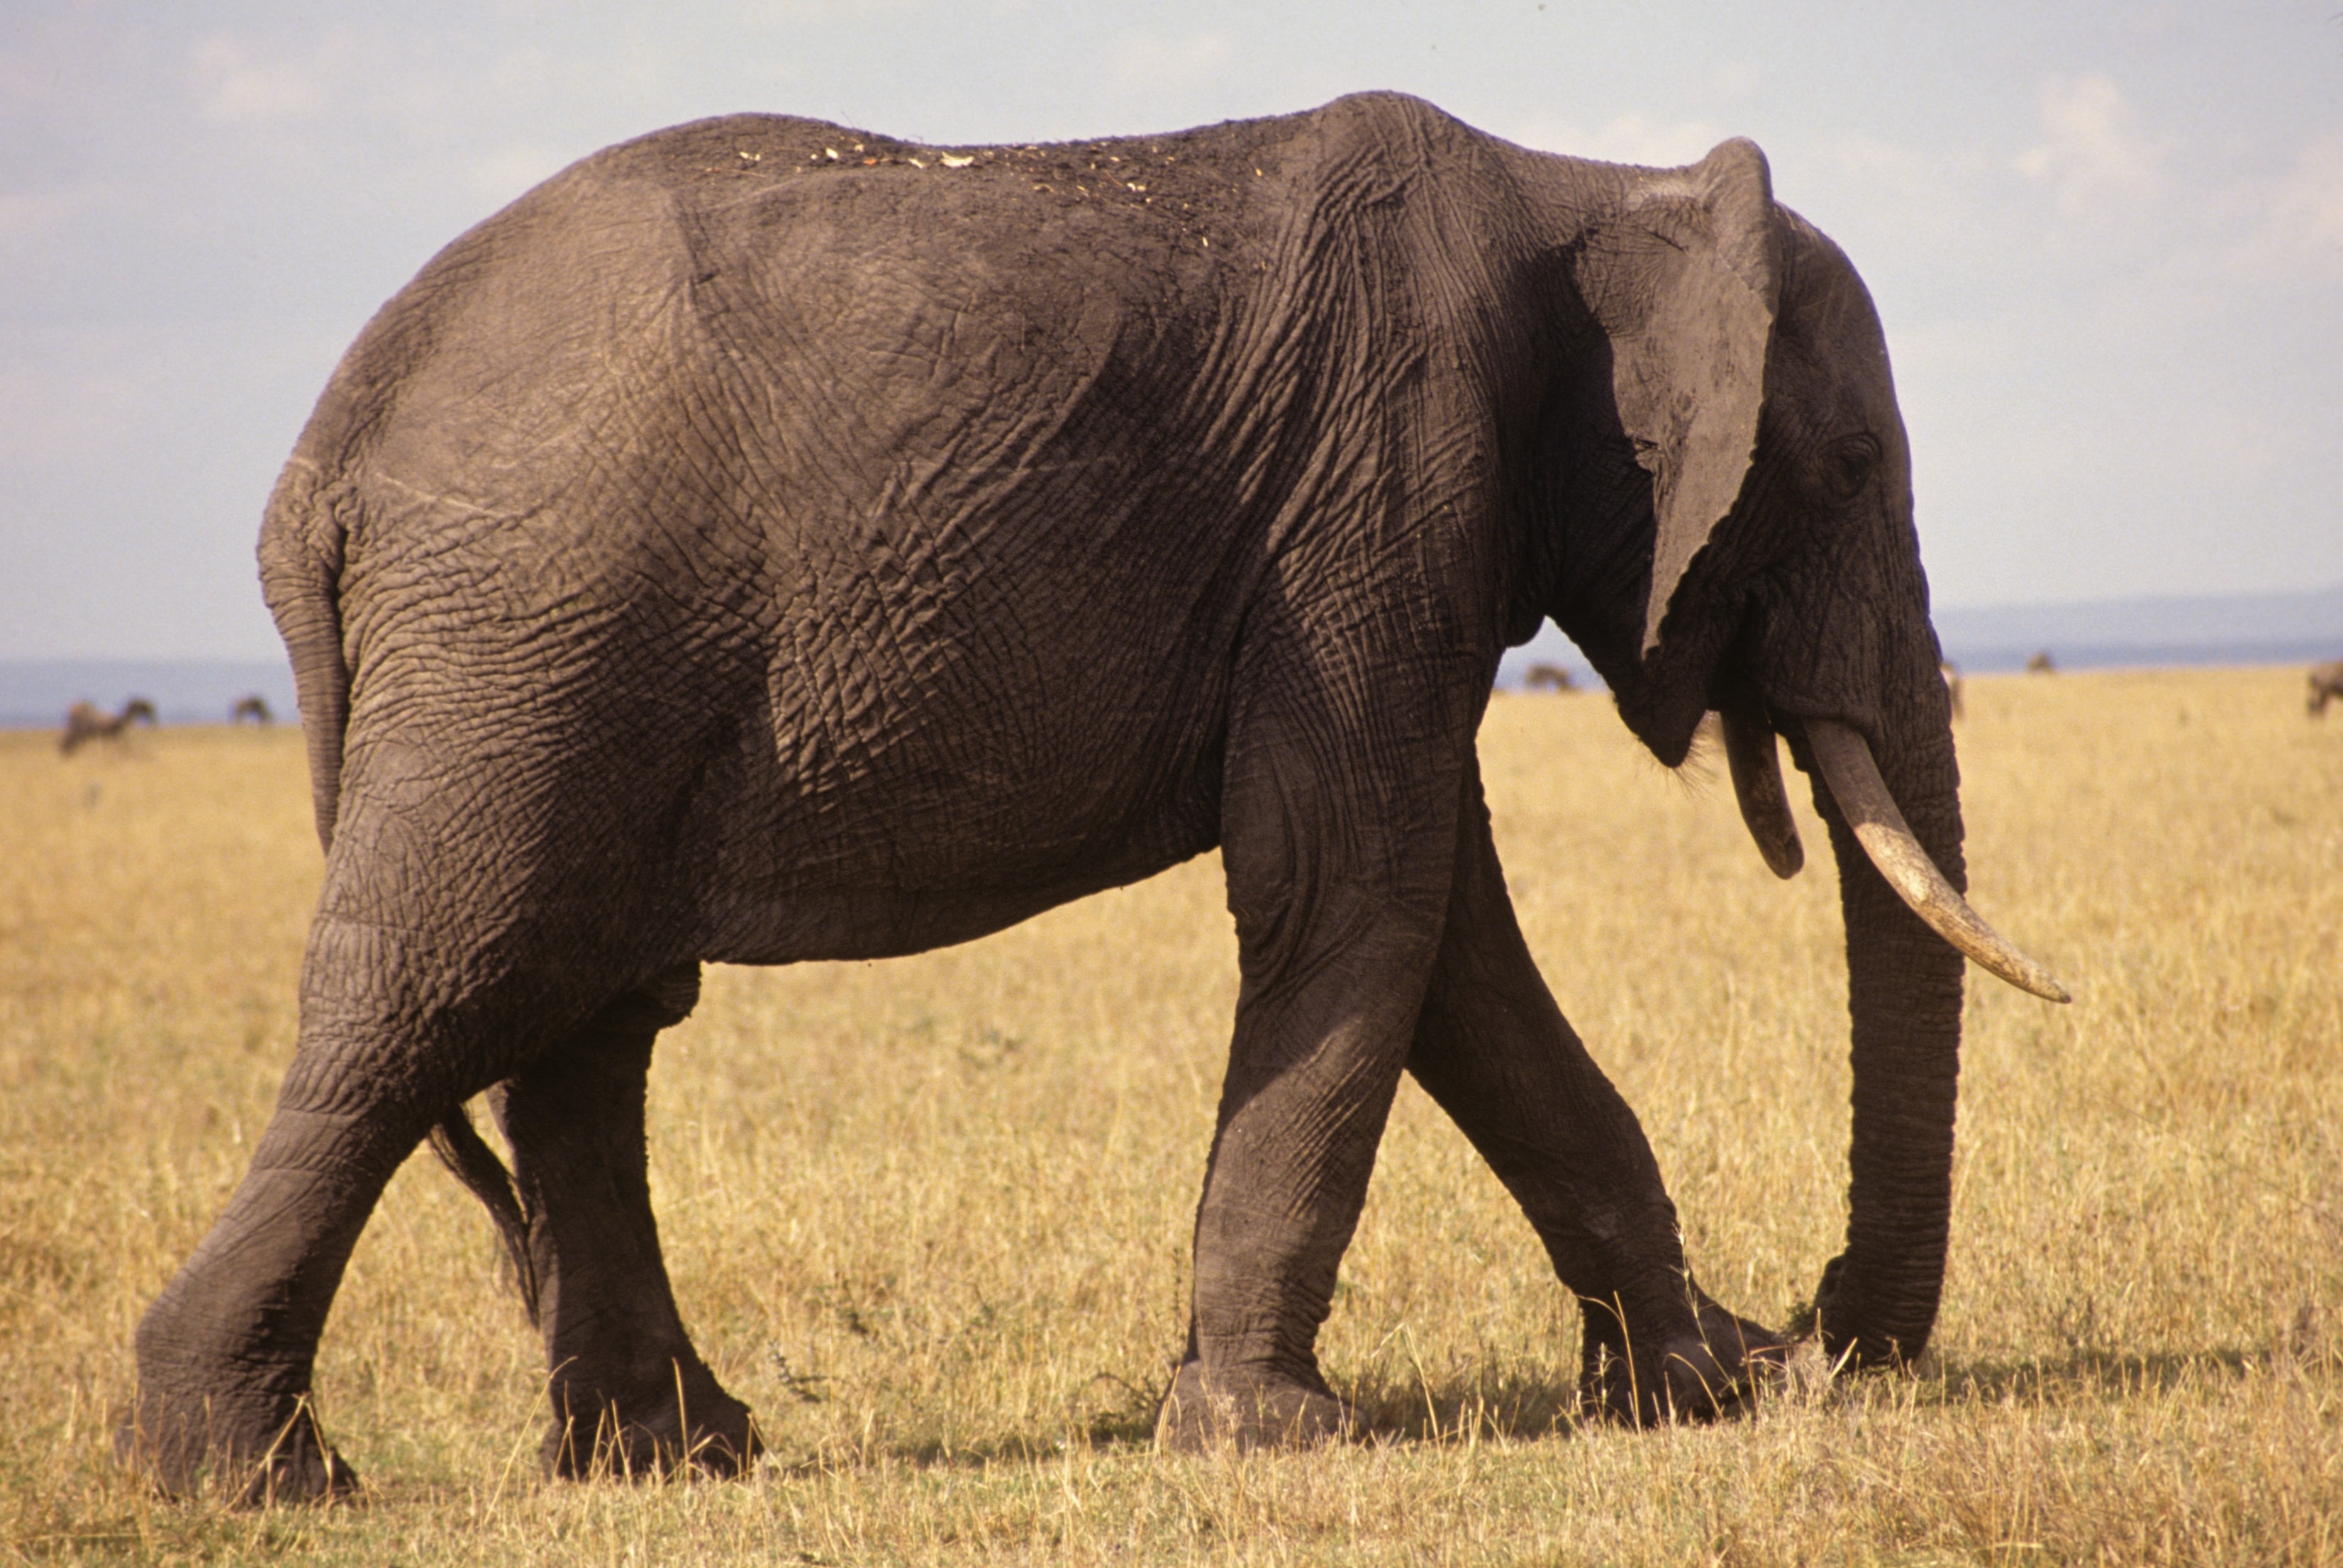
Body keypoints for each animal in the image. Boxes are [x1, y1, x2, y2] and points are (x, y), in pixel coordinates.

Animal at [125, 92, 2067, 1502]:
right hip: (532, 635)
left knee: (587, 1025)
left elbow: (1447, 938)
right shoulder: (1381, 485)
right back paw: (247, 1479)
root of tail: (320, 465)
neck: (1590, 184)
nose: (1827, 1327)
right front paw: (1276, 1441)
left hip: (562, 653)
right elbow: (1361, 890)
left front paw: (1697, 1383)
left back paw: (669, 1457)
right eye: (1852, 463)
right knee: (433, 997)